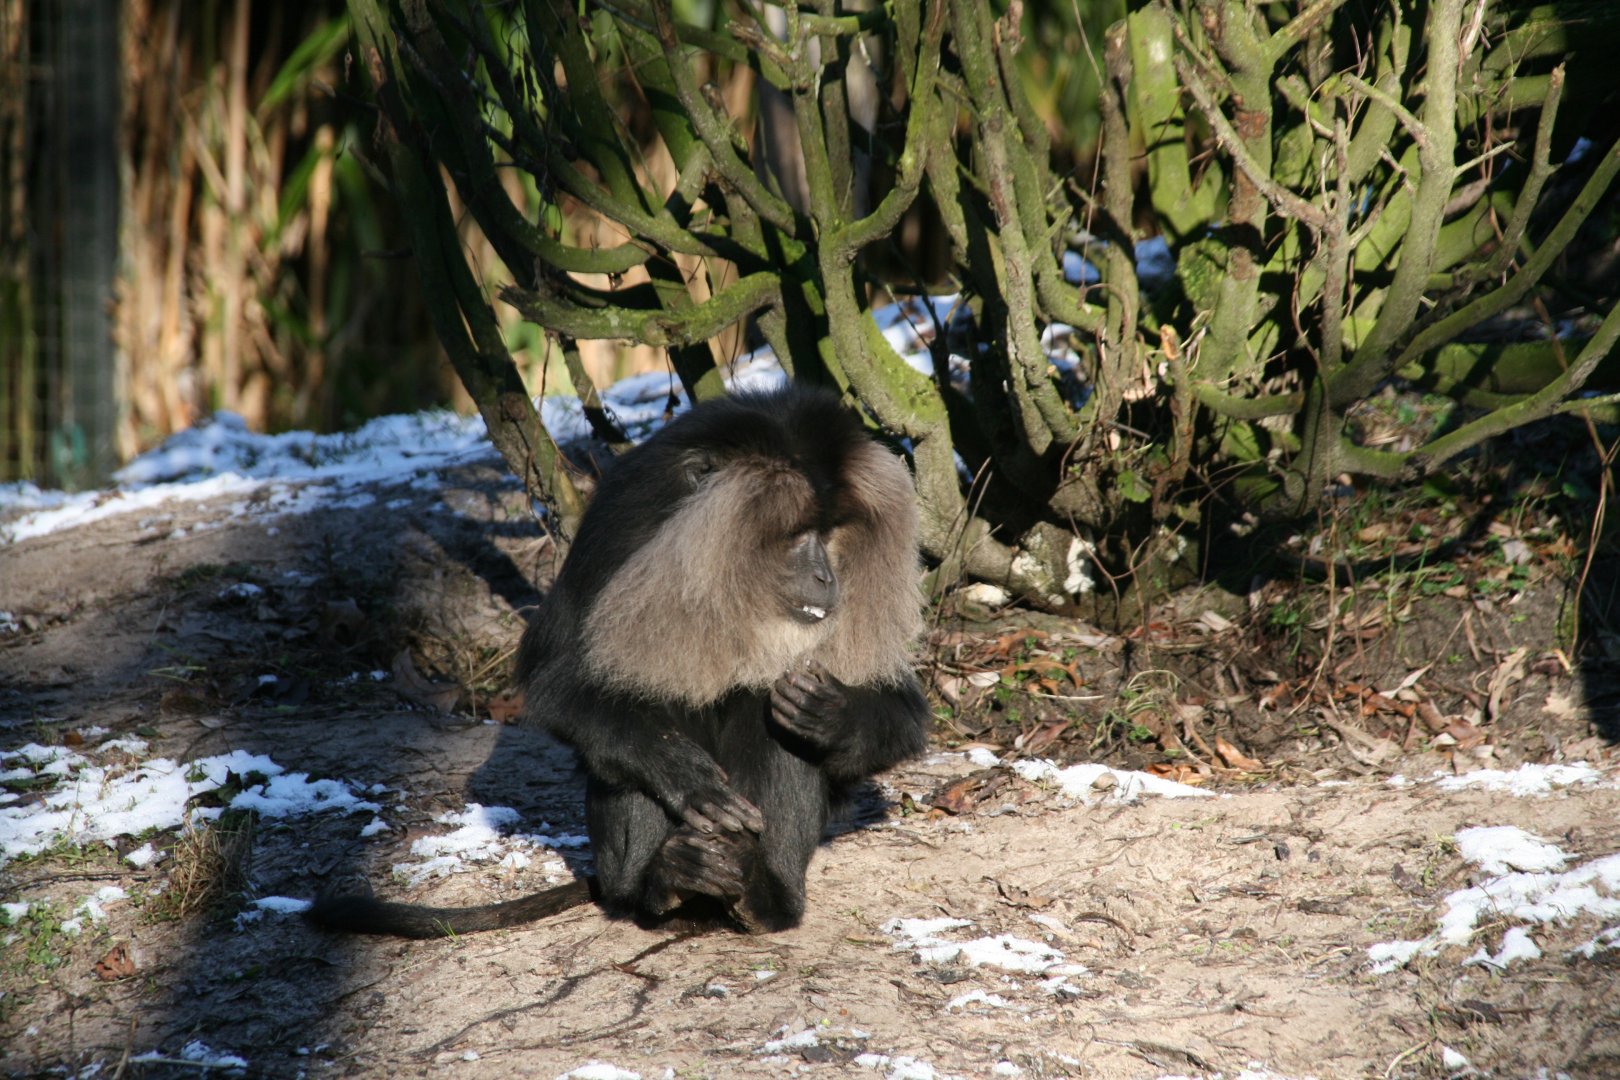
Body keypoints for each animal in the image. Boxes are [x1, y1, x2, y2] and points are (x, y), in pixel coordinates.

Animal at [307, 385, 931, 938]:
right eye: (800, 534)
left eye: (832, 531)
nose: (827, 577)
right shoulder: (625, 518)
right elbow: (555, 683)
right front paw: (680, 771)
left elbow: (895, 714)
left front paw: (832, 714)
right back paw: (664, 883)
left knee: (768, 706)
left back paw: (763, 896)